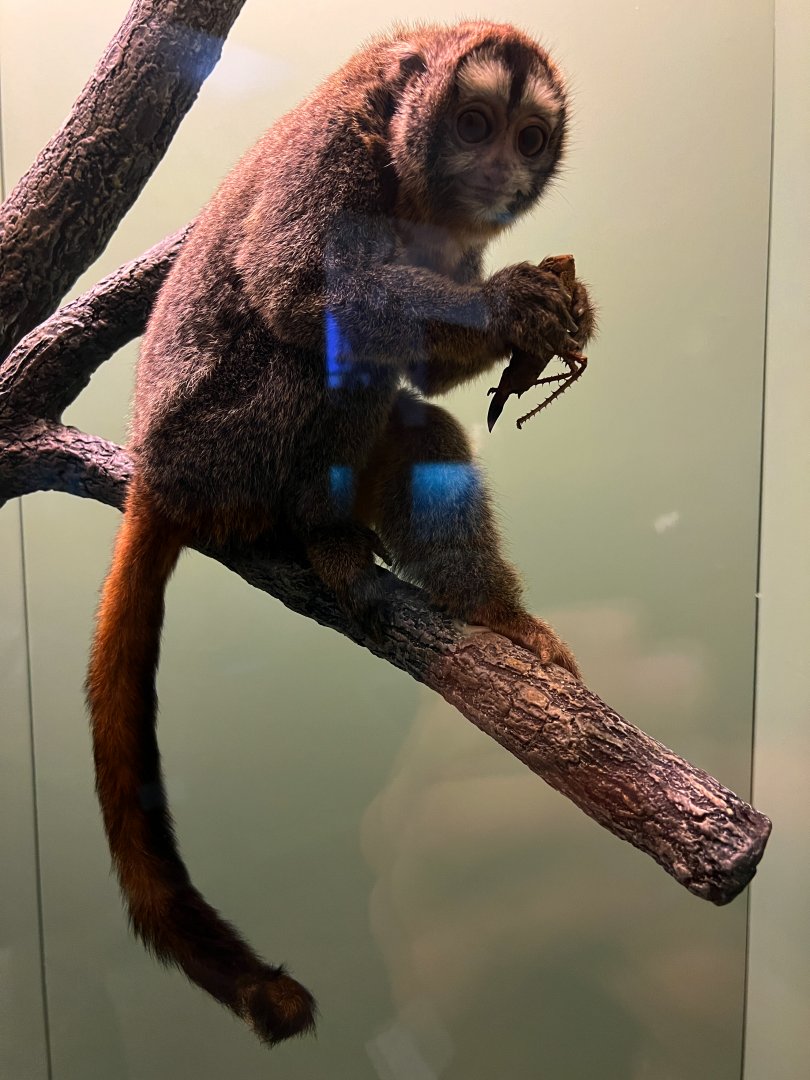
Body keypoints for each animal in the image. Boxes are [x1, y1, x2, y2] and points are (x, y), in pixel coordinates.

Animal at [86, 20, 595, 1046]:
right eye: (473, 123)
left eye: (528, 138)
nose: (500, 173)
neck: (410, 176)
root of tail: (154, 473)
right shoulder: (334, 152)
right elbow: (291, 290)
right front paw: (515, 305)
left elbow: (432, 384)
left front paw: (559, 314)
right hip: (222, 453)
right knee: (321, 353)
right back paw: (320, 536)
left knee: (421, 428)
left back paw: (491, 614)